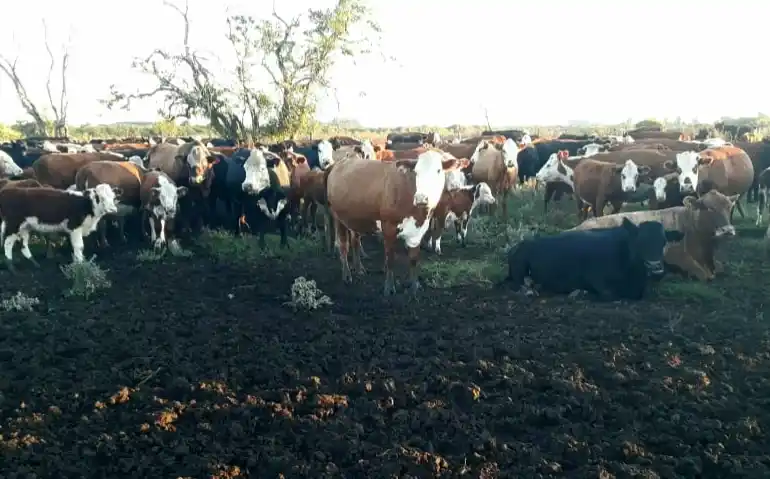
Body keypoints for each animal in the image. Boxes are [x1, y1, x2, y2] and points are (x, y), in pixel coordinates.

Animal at [325, 150, 457, 295]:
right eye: (416, 172)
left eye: (438, 170)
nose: (421, 198)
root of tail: (338, 163)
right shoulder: (388, 226)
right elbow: (390, 258)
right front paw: (389, 287)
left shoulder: (419, 230)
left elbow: (414, 259)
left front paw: (415, 286)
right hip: (338, 217)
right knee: (344, 245)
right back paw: (347, 276)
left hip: (354, 218)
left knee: (355, 241)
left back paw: (359, 268)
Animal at [503, 218, 682, 300]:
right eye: (640, 242)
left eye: (664, 242)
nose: (655, 268)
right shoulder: (596, 277)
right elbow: (609, 294)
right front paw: (580, 292)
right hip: (520, 268)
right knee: (518, 284)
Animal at [570, 190, 738, 281]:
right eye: (709, 208)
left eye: (729, 207)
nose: (728, 231)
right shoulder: (675, 255)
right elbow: (704, 275)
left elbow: (720, 267)